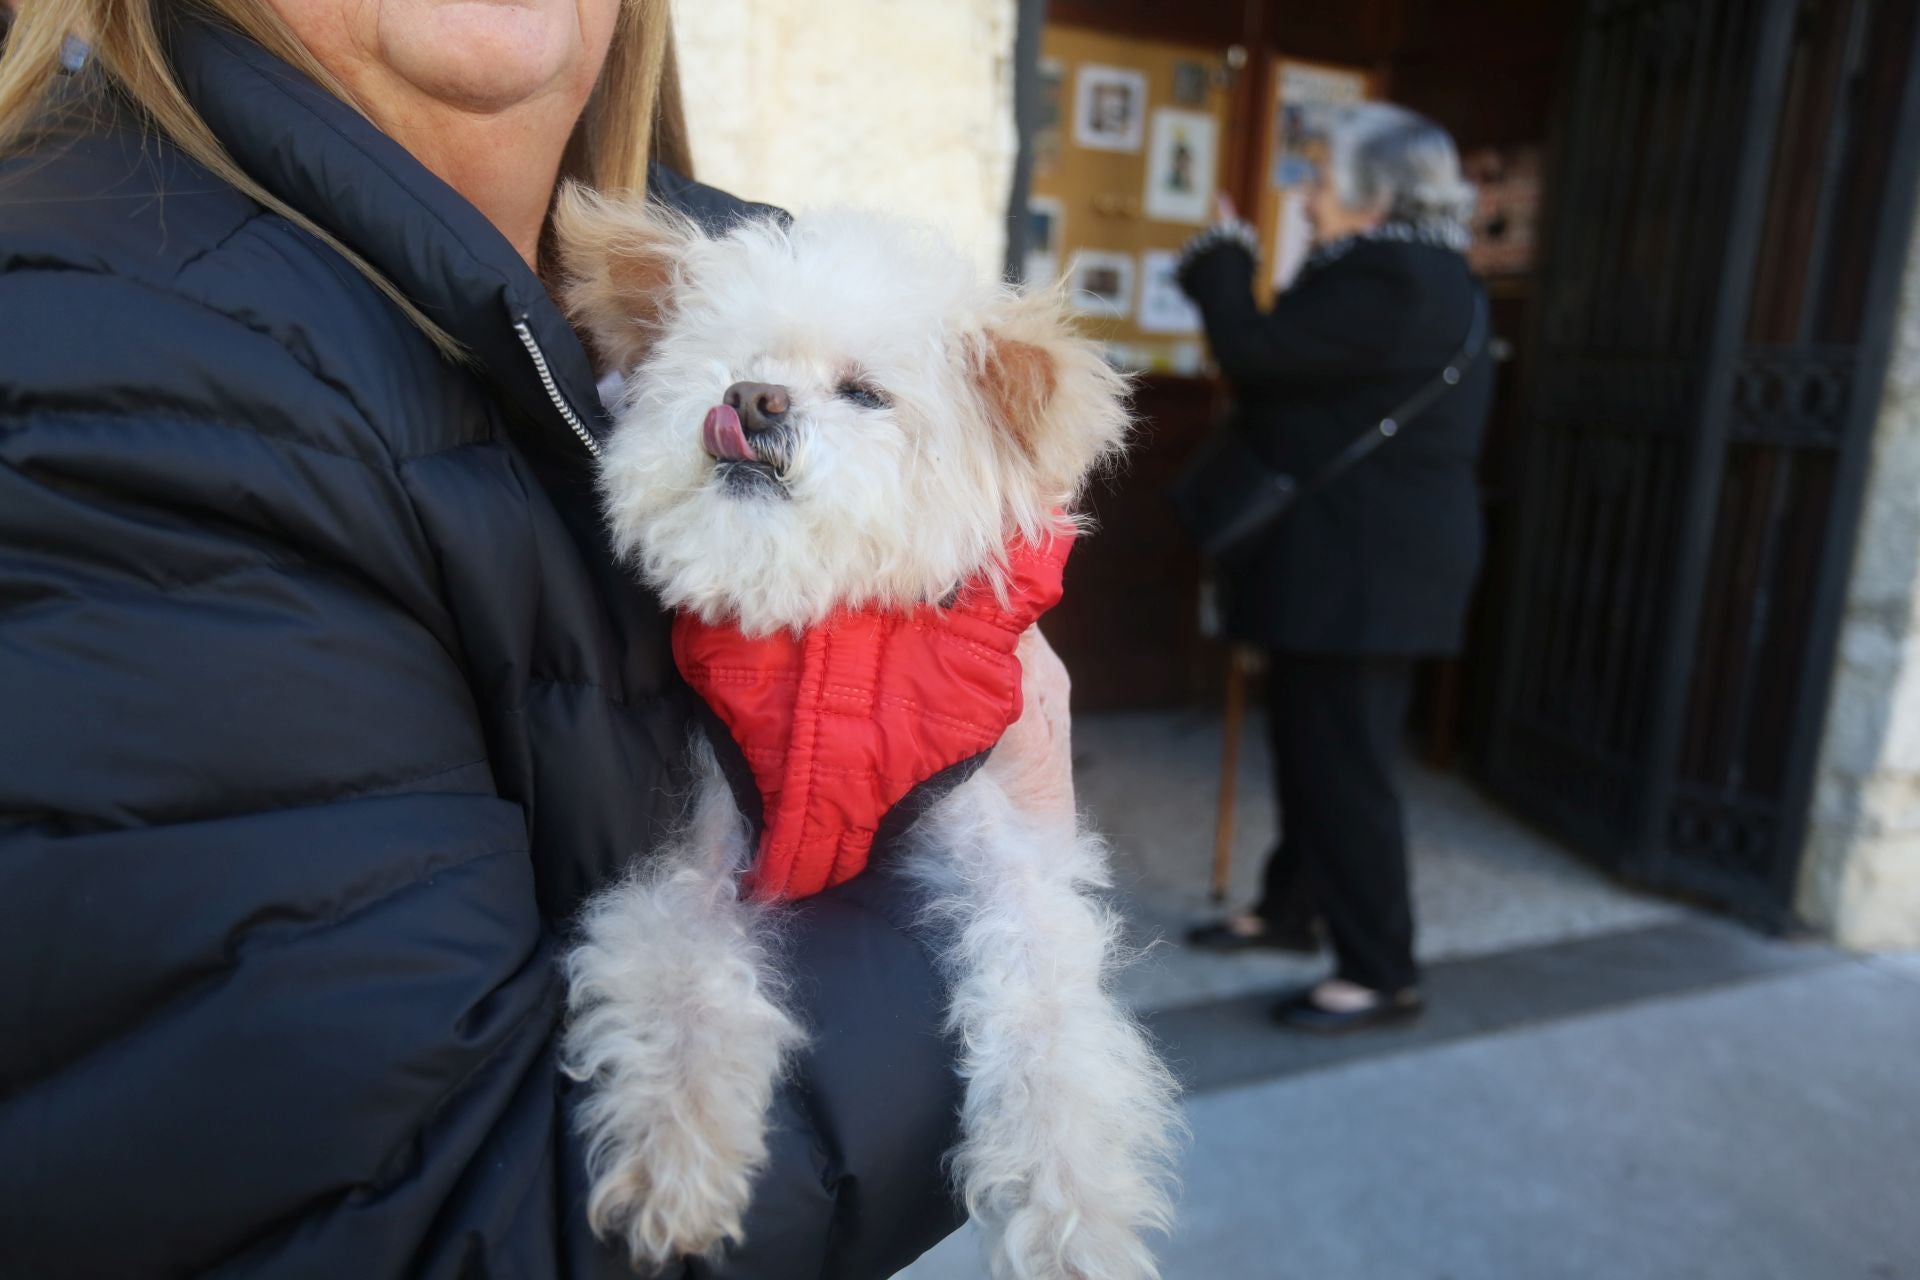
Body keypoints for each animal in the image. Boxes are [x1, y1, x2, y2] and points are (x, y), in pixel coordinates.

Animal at [556, 189, 1175, 1280]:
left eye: (864, 393)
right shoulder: (703, 847)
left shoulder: (1001, 844)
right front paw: (675, 1155)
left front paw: (1075, 1221)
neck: (821, 627)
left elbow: (1048, 1021)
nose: (754, 398)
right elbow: (685, 976)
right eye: (732, 362)